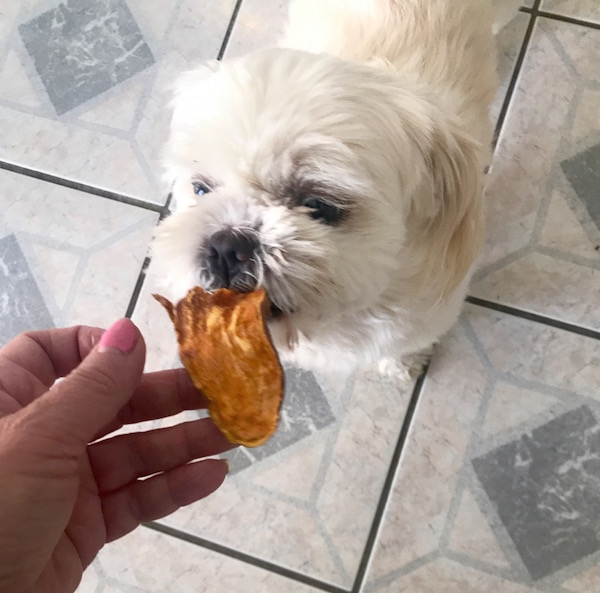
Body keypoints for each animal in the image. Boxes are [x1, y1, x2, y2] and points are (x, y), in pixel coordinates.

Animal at [152, 0, 504, 376]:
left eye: (320, 206)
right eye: (201, 189)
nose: (227, 244)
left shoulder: (426, 314)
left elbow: (406, 345)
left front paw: (401, 365)